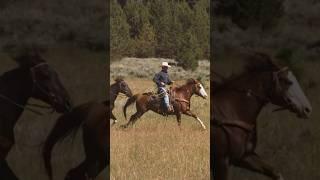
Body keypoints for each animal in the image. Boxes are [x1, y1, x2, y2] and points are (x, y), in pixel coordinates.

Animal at [211, 52, 312, 180]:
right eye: (287, 81)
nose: (307, 109)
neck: (231, 111)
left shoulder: (244, 156)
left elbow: (275, 172)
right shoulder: (221, 161)